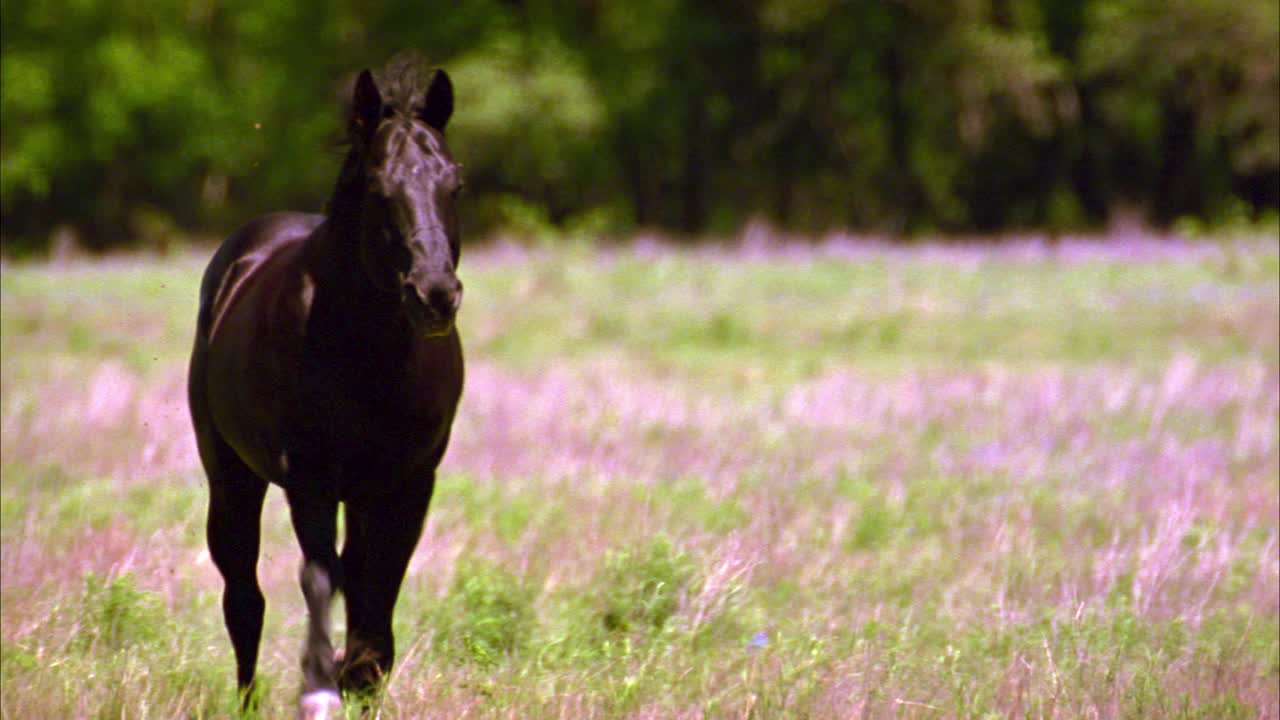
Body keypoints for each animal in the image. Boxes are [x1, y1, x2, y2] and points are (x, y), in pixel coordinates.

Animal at [186, 58, 468, 712]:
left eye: (455, 184)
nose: (435, 294)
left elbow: (379, 583)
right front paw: (320, 687)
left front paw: (359, 678)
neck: (368, 356)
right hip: (231, 476)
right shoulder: (309, 476)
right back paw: (249, 700)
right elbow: (319, 577)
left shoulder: (408, 481)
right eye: (380, 188)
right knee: (244, 596)